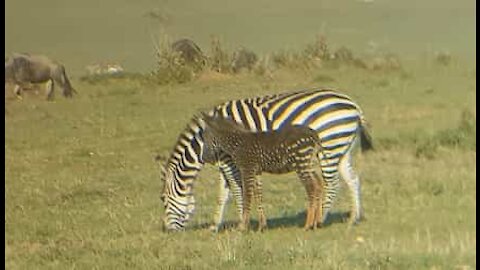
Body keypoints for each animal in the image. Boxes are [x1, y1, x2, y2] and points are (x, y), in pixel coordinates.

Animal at [159, 87, 374, 231]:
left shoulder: (229, 160)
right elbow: (223, 194)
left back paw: (321, 219)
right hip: (341, 148)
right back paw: (353, 218)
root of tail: (354, 106)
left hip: (330, 143)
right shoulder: (227, 162)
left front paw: (241, 222)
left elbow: (237, 190)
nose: (167, 231)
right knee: (352, 180)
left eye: (163, 200)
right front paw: (215, 226)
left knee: (331, 183)